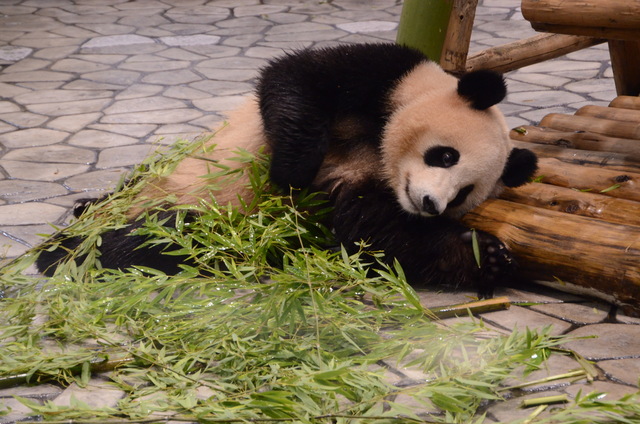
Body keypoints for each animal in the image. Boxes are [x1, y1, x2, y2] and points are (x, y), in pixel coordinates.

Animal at [35, 43, 536, 294]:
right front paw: (290, 170)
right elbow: (294, 79)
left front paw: (484, 255)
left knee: (168, 239)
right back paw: (66, 245)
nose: (430, 204)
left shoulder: (371, 189)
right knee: (142, 233)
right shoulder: (387, 73)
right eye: (445, 155)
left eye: (465, 192)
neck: (380, 148)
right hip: (175, 187)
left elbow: (374, 232)